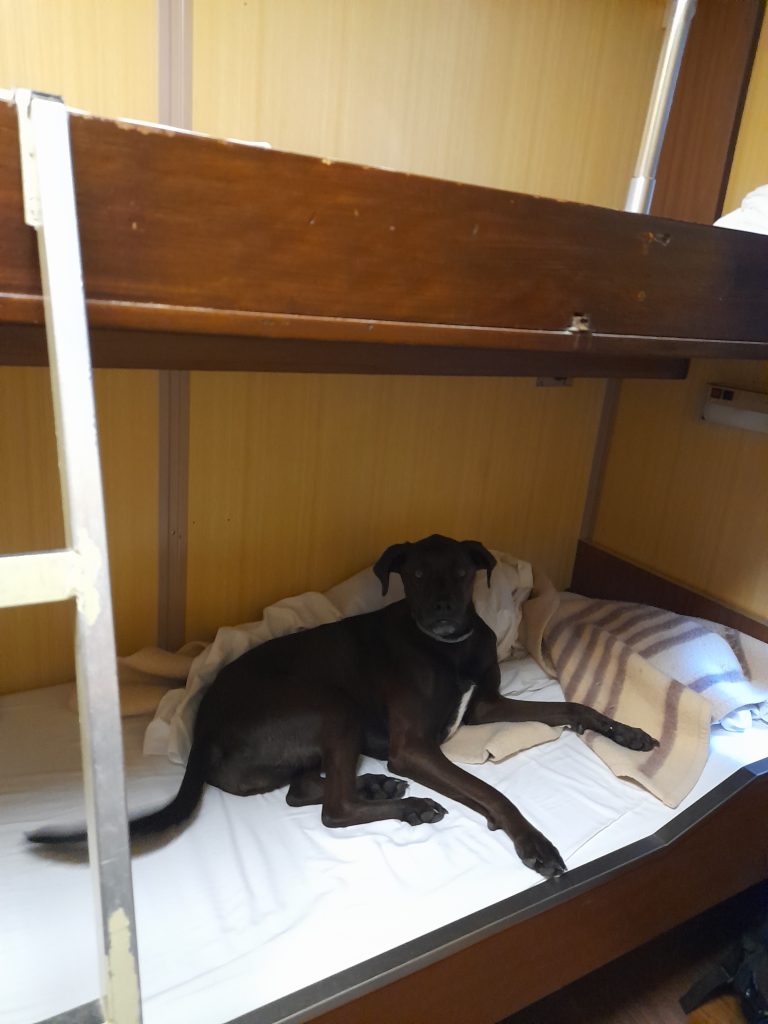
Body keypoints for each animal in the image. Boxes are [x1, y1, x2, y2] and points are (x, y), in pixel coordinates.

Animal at [28, 532, 655, 876]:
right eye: (416, 575)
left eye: (460, 572)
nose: (445, 615)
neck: (446, 649)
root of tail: (201, 726)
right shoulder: (413, 747)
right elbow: (492, 792)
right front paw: (532, 841)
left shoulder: (485, 706)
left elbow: (569, 709)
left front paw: (628, 732)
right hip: (333, 707)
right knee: (331, 809)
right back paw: (406, 803)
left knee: (304, 790)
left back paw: (377, 786)